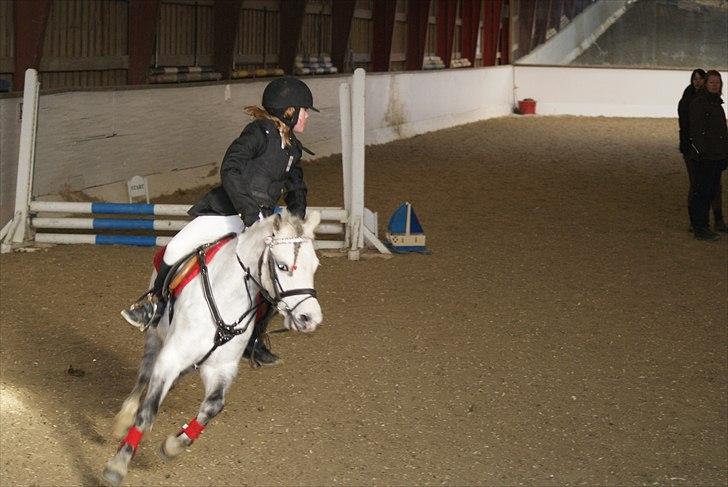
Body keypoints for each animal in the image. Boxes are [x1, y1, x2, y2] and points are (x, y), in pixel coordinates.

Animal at [101, 213, 322, 487]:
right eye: (282, 266)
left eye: (315, 266)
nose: (310, 319)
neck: (229, 298)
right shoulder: (171, 358)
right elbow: (147, 412)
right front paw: (119, 463)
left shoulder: (221, 368)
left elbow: (212, 407)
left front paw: (173, 445)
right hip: (155, 337)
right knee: (144, 376)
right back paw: (124, 418)